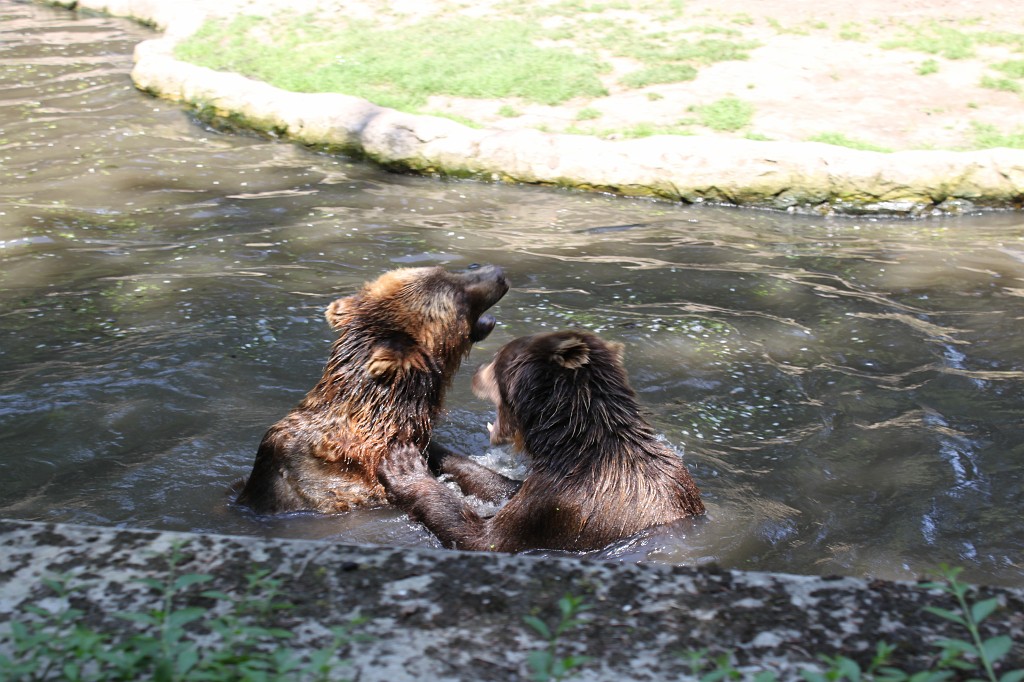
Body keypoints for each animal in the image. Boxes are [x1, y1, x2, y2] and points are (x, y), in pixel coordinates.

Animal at [377, 329, 705, 552]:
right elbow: (504, 488)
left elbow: (484, 539)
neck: (574, 445)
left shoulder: (562, 504)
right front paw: (430, 446)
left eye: (498, 357)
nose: (476, 372)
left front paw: (403, 466)